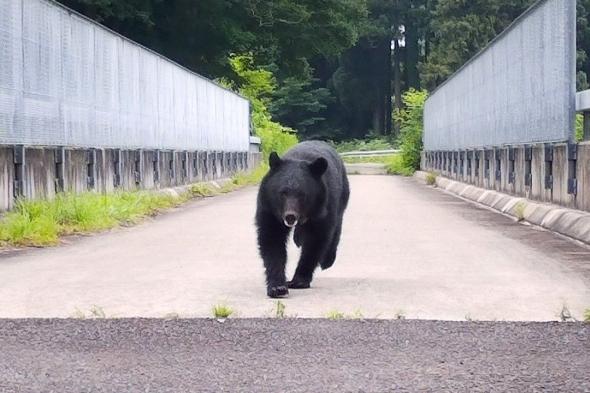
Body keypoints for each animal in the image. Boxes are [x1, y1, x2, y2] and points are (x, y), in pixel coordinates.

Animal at [256, 141, 350, 298]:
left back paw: (327, 260)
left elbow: (315, 241)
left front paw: (299, 280)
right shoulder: (269, 207)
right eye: (283, 193)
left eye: (302, 194)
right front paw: (277, 287)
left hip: (342, 196)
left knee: (336, 226)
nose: (290, 216)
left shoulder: (323, 207)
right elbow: (272, 240)